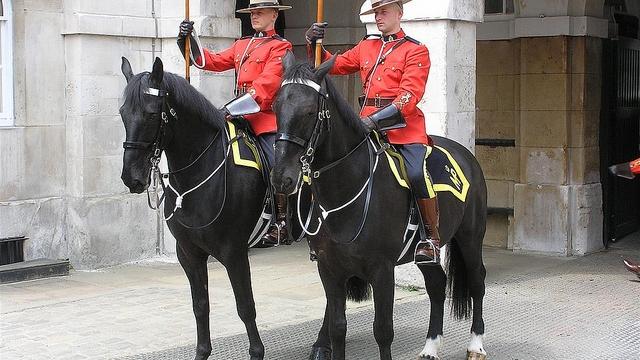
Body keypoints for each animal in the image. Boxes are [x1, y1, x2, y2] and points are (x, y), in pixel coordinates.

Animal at [119, 57, 266, 358]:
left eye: (151, 114)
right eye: (122, 113)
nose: (132, 177)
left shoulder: (234, 252)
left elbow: (245, 307)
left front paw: (256, 351)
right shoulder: (189, 252)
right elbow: (200, 305)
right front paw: (202, 351)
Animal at [272, 54, 490, 360]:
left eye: (309, 111)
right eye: (275, 107)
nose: (282, 177)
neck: (345, 189)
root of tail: (466, 154)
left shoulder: (382, 269)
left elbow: (383, 330)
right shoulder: (329, 268)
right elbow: (338, 327)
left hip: (470, 236)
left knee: (477, 281)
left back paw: (476, 345)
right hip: (425, 252)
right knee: (436, 285)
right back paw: (431, 346)